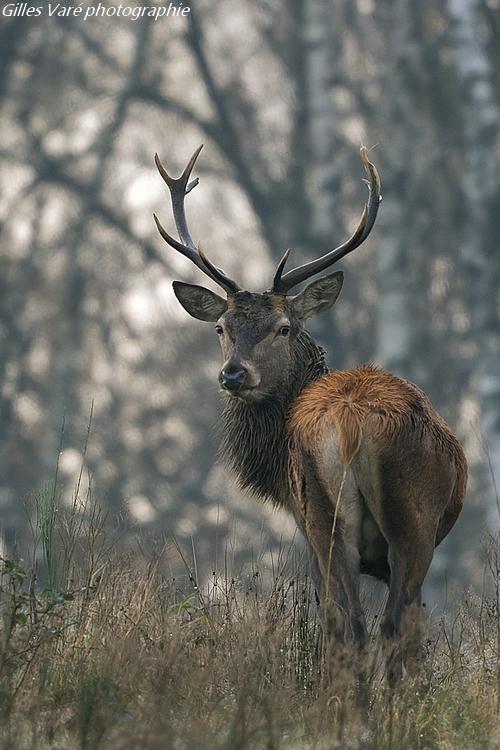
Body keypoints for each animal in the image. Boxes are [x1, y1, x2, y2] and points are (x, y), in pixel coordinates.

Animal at [151, 145, 464, 680]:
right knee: (375, 627)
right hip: (388, 521)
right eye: (221, 327)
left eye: (282, 327)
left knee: (362, 626)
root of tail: (354, 420)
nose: (233, 374)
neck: (275, 464)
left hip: (339, 519)